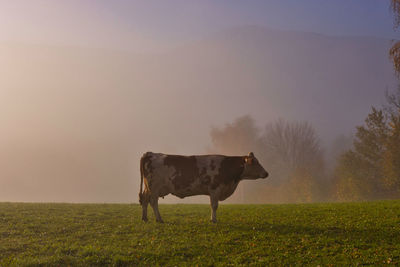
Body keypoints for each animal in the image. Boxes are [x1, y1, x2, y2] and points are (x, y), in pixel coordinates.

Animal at [138, 152, 268, 223]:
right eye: (254, 162)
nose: (266, 173)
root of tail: (150, 153)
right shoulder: (215, 189)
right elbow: (214, 206)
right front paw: (213, 220)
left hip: (148, 188)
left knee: (144, 200)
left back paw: (145, 218)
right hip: (154, 188)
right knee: (153, 202)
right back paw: (159, 219)